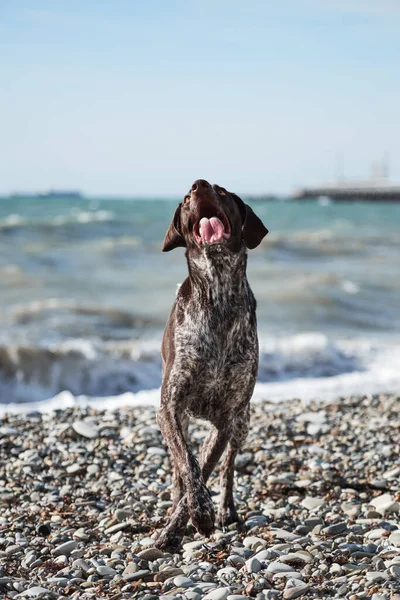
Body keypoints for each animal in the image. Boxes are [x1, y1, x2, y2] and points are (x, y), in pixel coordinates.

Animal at [155, 179, 268, 552]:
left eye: (221, 191)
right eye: (187, 198)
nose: (199, 184)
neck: (218, 297)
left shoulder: (227, 419)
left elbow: (206, 468)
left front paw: (193, 519)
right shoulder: (170, 408)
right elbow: (189, 466)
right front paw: (188, 515)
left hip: (242, 423)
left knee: (227, 469)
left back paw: (225, 511)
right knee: (181, 466)